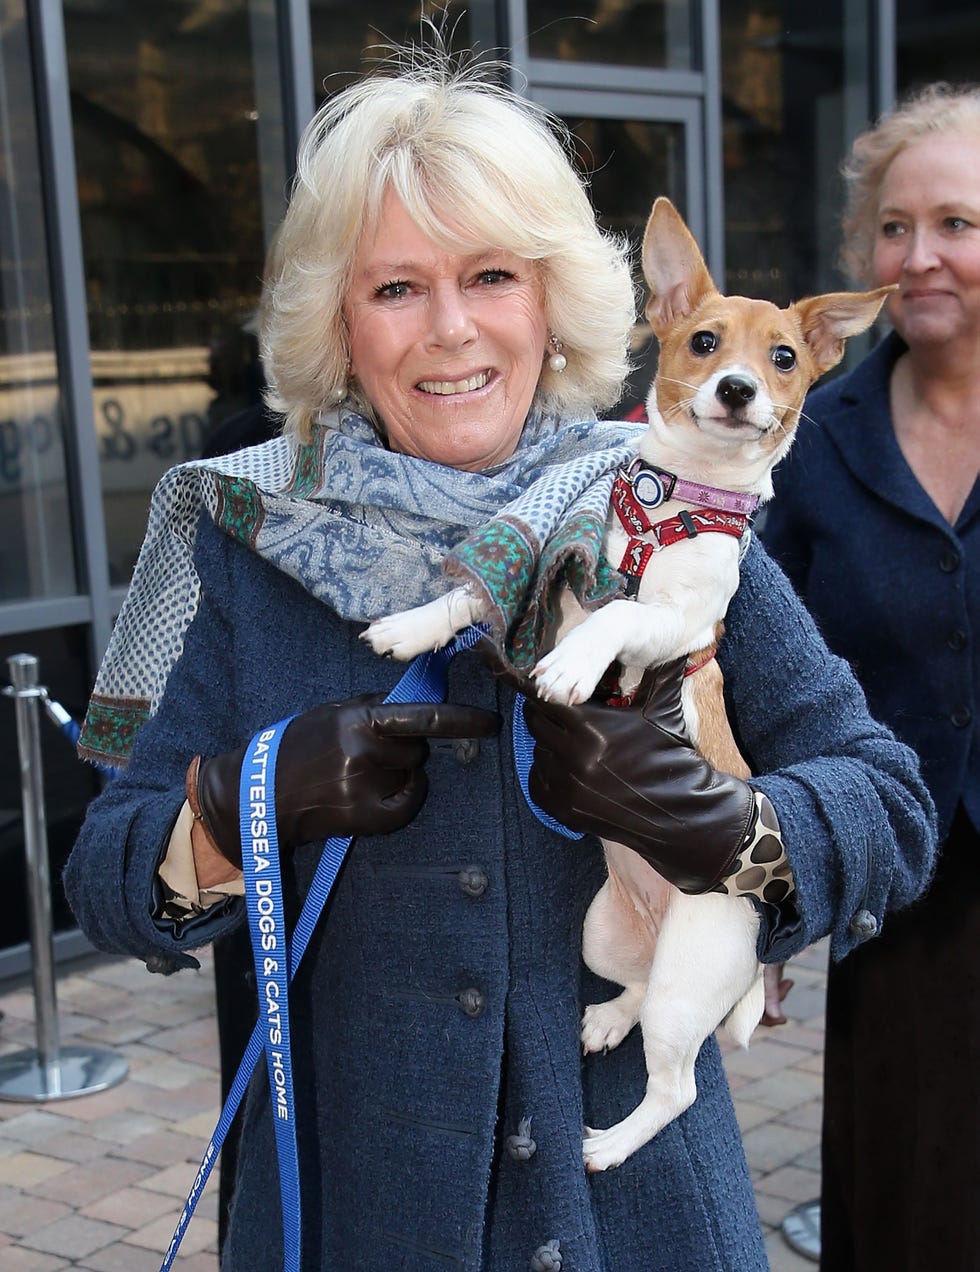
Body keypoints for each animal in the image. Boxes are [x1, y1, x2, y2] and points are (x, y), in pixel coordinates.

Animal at [361, 200, 890, 1170]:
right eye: (705, 341)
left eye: (783, 358)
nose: (737, 389)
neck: (670, 506)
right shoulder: (553, 571)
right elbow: (472, 596)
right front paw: (413, 625)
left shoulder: (677, 625)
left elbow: (616, 620)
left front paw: (573, 666)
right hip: (606, 937)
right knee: (637, 994)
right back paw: (608, 1020)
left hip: (691, 975)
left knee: (677, 1083)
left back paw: (607, 1145)